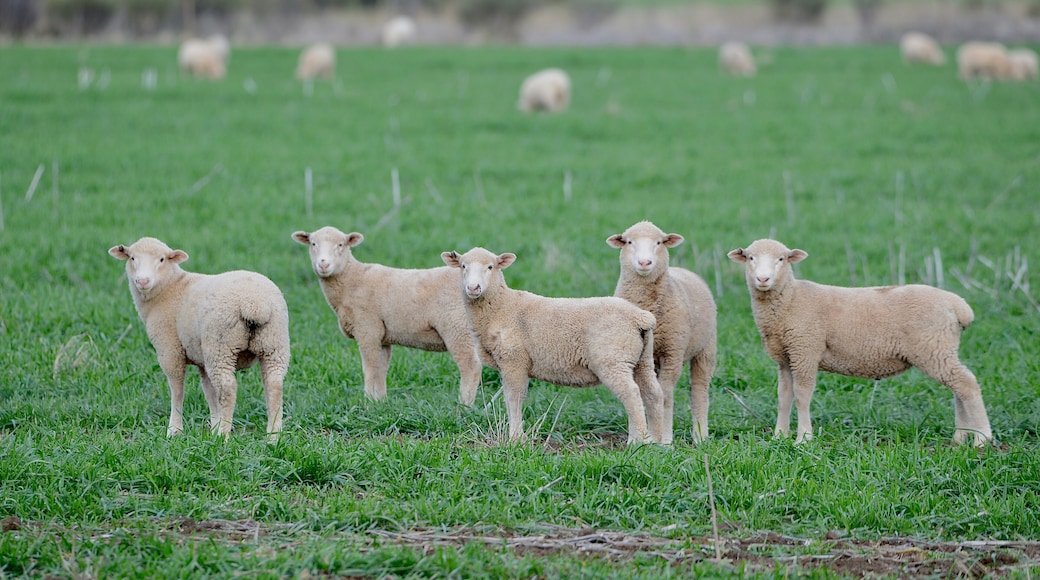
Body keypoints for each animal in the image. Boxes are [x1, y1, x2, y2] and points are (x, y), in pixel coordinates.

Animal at [109, 237, 289, 442]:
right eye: (132, 258)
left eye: (162, 259)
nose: (143, 280)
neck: (169, 288)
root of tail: (255, 305)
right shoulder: (202, 359)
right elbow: (209, 392)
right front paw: (213, 426)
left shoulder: (170, 350)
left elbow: (177, 389)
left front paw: (174, 430)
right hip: (273, 343)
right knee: (274, 385)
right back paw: (273, 436)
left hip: (221, 345)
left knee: (227, 388)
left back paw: (224, 436)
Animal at [292, 227, 485, 405]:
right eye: (313, 244)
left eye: (340, 245)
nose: (323, 265)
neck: (352, 280)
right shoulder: (382, 336)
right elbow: (381, 369)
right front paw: (380, 401)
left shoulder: (367, 329)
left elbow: (369, 368)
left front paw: (367, 400)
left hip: (456, 326)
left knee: (470, 365)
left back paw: (464, 405)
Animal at [441, 247, 665, 445]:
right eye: (463, 266)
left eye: (490, 267)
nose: (473, 288)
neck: (501, 307)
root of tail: (640, 317)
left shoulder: (514, 360)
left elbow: (513, 398)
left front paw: (515, 438)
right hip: (642, 360)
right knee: (653, 394)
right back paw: (656, 442)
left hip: (614, 359)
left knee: (632, 395)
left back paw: (636, 442)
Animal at [607, 221, 717, 444]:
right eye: (629, 242)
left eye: (658, 242)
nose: (644, 262)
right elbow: (641, 394)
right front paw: (638, 438)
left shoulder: (672, 352)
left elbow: (665, 394)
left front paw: (664, 440)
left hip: (706, 348)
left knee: (699, 390)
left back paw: (700, 436)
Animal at [727, 239, 992, 447]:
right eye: (750, 257)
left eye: (781, 259)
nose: (763, 278)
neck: (791, 300)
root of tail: (958, 305)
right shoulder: (785, 357)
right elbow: (784, 397)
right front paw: (779, 436)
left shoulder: (805, 350)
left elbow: (802, 396)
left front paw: (803, 438)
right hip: (941, 350)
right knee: (958, 389)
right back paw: (960, 438)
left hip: (933, 348)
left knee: (967, 385)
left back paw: (982, 439)